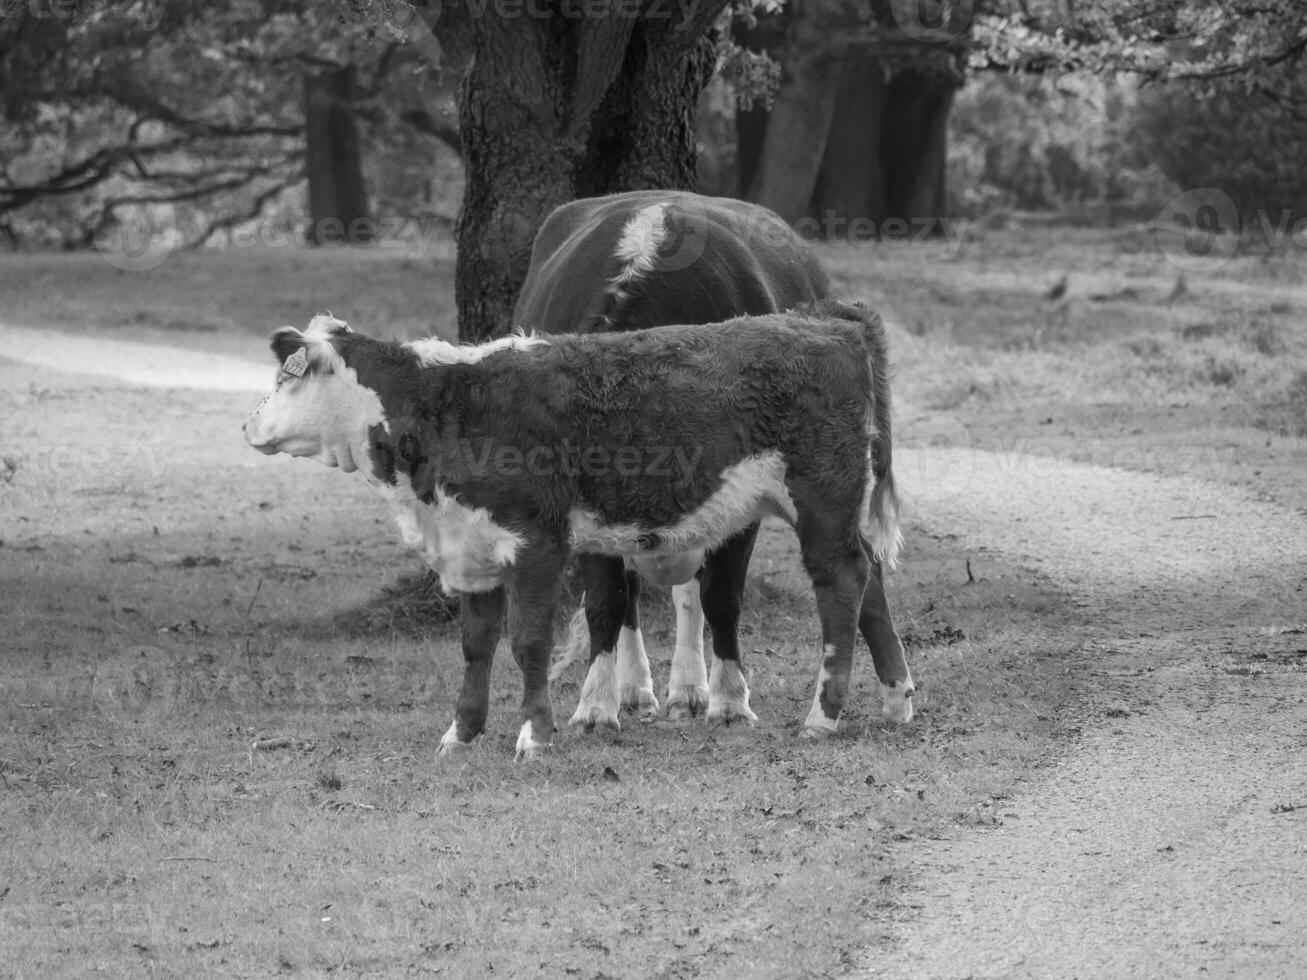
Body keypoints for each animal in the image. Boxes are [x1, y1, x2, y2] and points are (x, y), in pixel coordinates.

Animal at [247, 305, 920, 757]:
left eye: (287, 376)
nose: (249, 424)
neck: (449, 404)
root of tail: (825, 321)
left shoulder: (537, 541)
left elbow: (528, 642)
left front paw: (534, 736)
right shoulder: (472, 545)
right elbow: (476, 645)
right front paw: (461, 733)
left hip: (820, 498)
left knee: (841, 584)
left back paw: (823, 716)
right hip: (828, 508)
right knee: (868, 579)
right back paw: (896, 700)